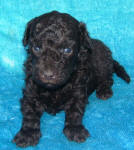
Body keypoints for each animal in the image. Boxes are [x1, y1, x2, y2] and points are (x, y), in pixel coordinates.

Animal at [12, 11, 130, 147]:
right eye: (36, 48)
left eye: (67, 50)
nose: (48, 74)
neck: (55, 89)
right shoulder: (30, 92)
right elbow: (29, 112)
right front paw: (27, 133)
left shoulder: (78, 91)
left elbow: (75, 110)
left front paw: (75, 130)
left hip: (104, 65)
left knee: (108, 79)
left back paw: (104, 91)